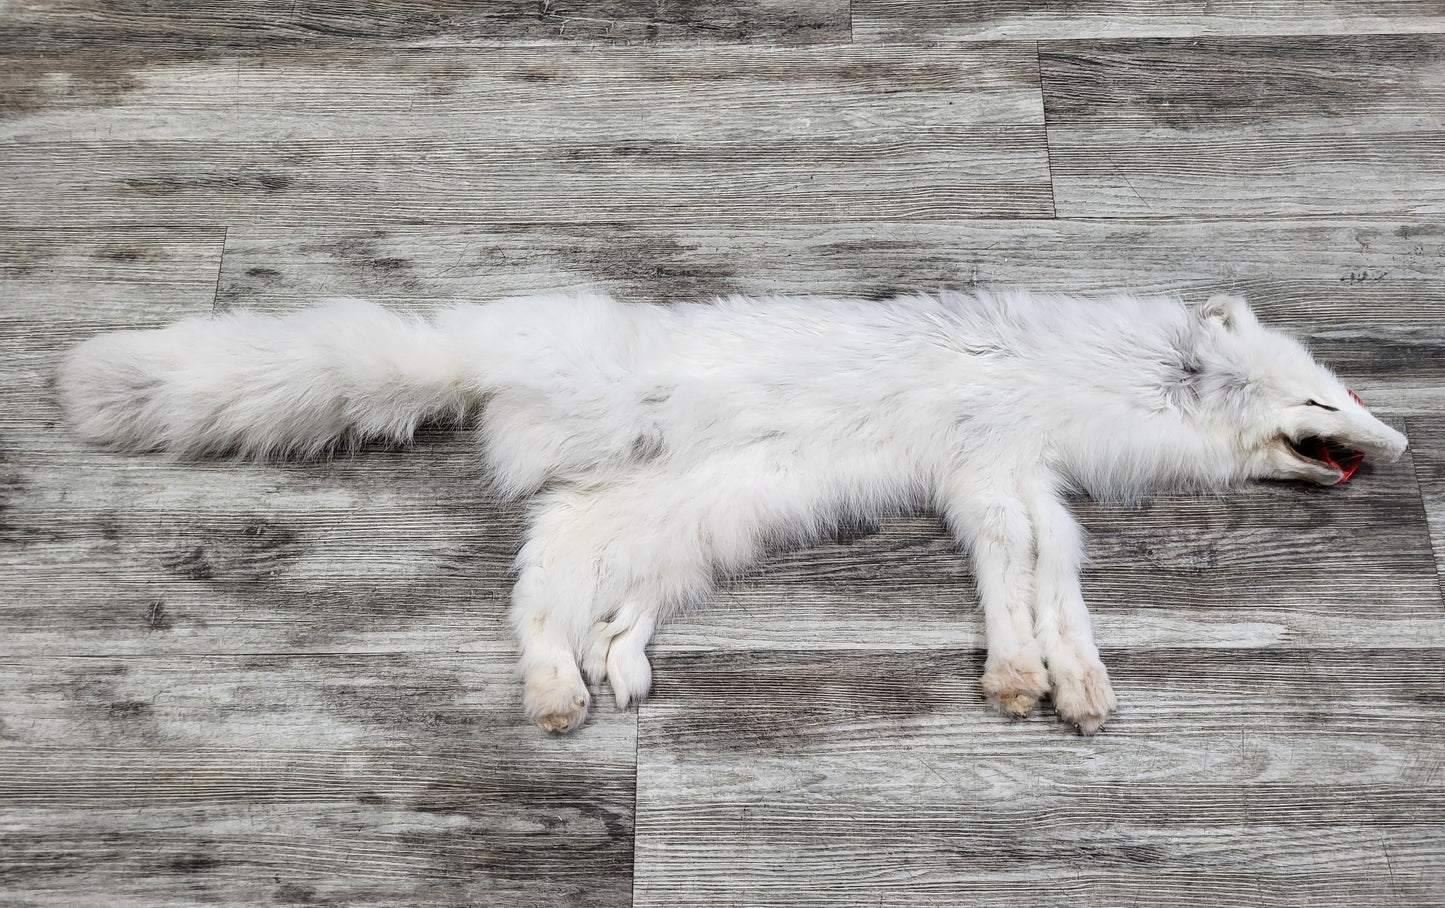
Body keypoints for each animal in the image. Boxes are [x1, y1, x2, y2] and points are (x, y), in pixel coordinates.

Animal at [57, 288, 1408, 734]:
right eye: (1325, 394)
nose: (1400, 441)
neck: (1090, 380)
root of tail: (482, 347)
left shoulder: (1008, 478)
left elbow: (1043, 583)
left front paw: (1053, 674)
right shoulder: (993, 468)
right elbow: (1023, 573)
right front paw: (1026, 672)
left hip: (682, 522)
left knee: (584, 593)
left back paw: (610, 668)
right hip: (632, 487)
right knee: (538, 600)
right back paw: (556, 689)